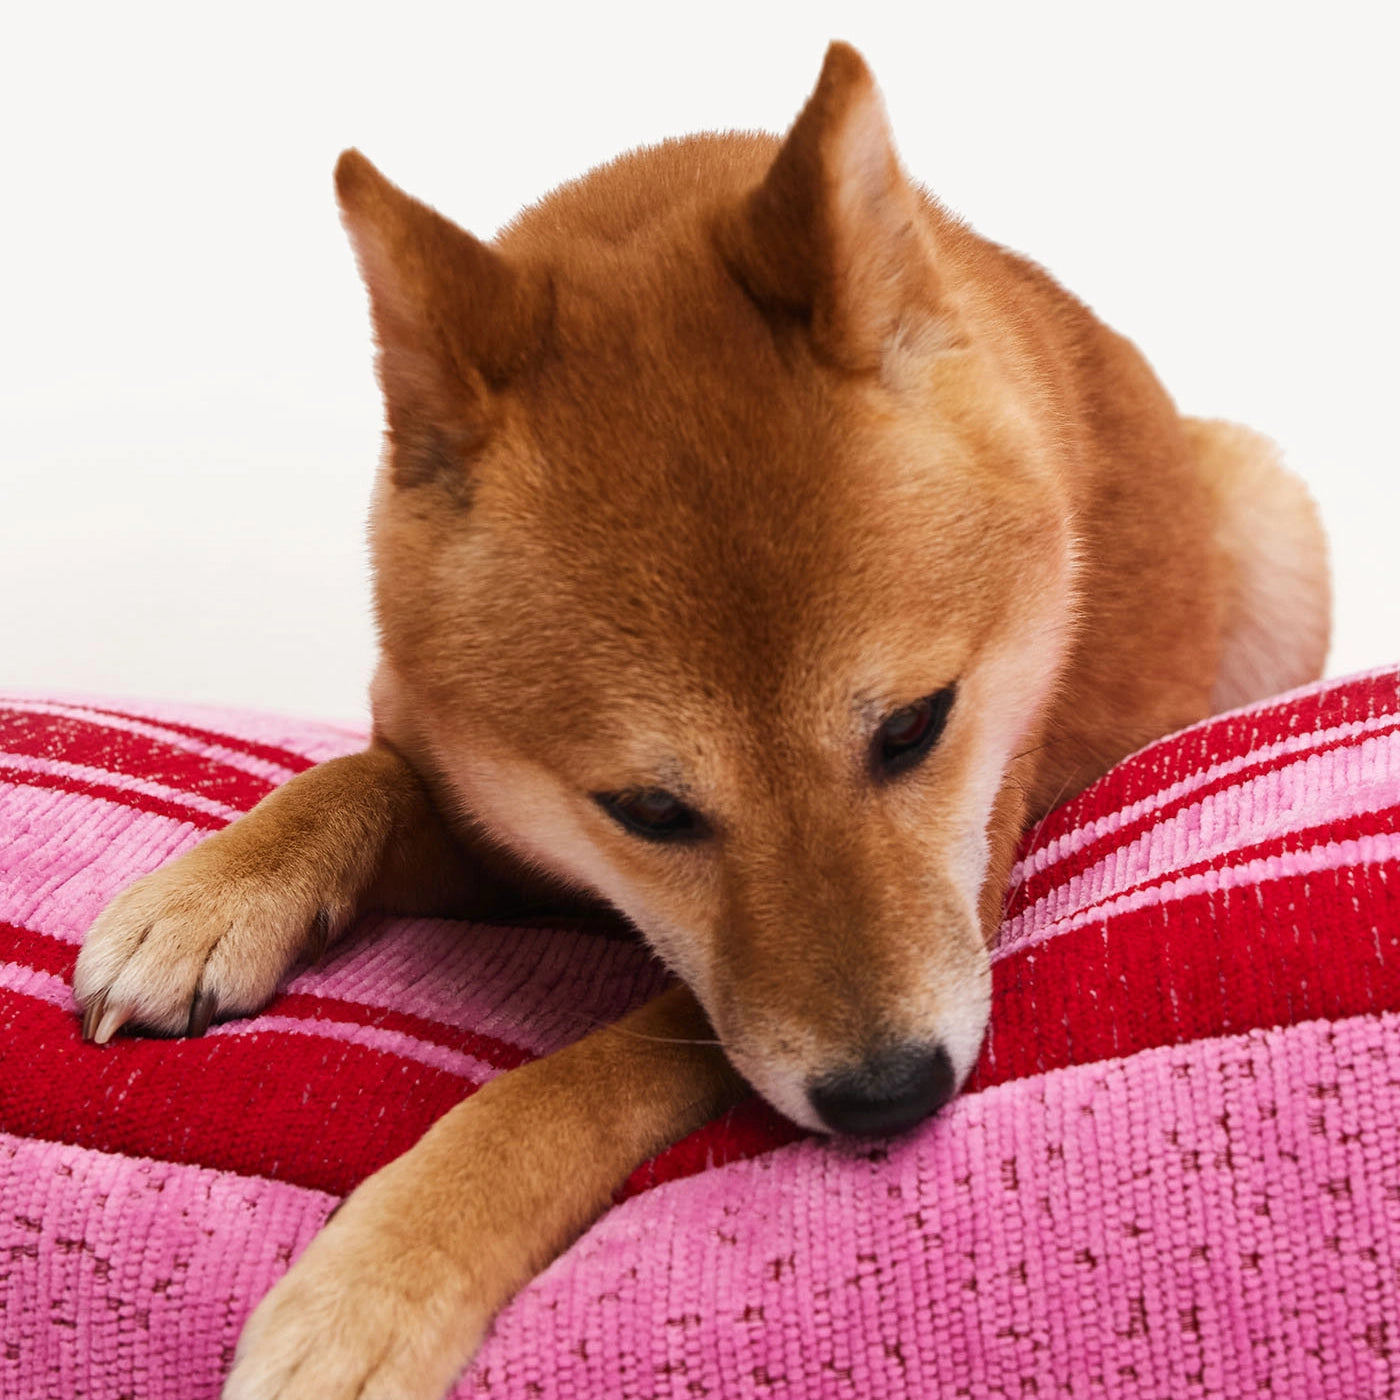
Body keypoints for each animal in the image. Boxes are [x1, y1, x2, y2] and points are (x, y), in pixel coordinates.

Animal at [71, 43, 1327, 1400]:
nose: (888, 1095)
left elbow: (573, 1083)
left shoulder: (967, 870)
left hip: (1270, 518)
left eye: (913, 727)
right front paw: (206, 897)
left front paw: (385, 1272)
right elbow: (354, 777)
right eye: (648, 809)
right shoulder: (484, 817)